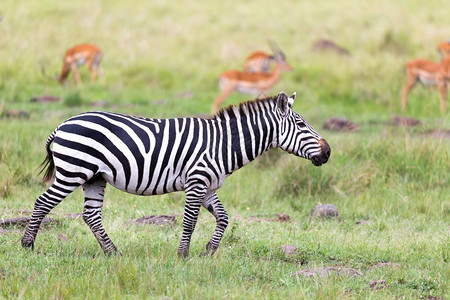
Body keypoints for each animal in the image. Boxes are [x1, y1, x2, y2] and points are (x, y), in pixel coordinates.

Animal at [21, 90, 330, 256]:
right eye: (301, 125)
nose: (327, 152)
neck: (222, 143)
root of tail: (62, 124)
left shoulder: (208, 186)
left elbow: (224, 218)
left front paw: (208, 250)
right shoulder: (196, 181)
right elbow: (190, 222)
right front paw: (183, 255)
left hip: (94, 177)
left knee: (91, 215)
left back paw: (114, 253)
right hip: (73, 171)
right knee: (42, 203)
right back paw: (27, 245)